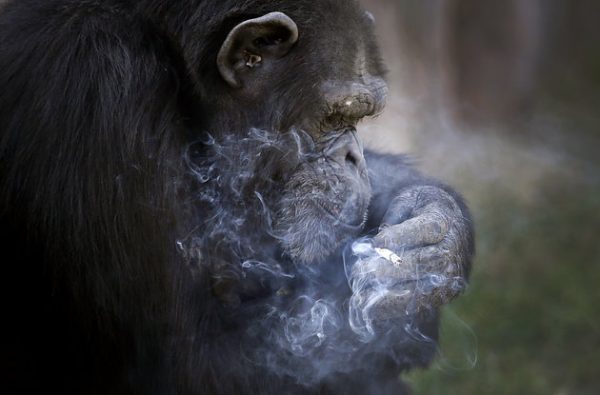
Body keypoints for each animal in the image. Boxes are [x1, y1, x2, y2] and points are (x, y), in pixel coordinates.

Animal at [0, 0, 474, 395]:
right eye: (335, 115)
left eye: (362, 117)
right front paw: (406, 305)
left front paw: (436, 234)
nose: (354, 157)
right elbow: (189, 358)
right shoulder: (102, 97)